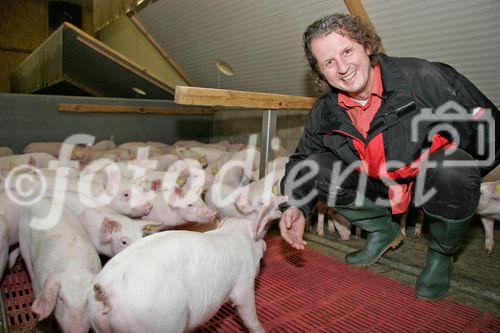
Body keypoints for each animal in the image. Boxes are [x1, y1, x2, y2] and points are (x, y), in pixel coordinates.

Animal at [88, 195, 288, 332]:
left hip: (98, 323)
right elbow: (247, 309)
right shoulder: (244, 281)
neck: (239, 232)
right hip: (158, 320)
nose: (282, 201)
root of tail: (106, 291)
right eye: (263, 202)